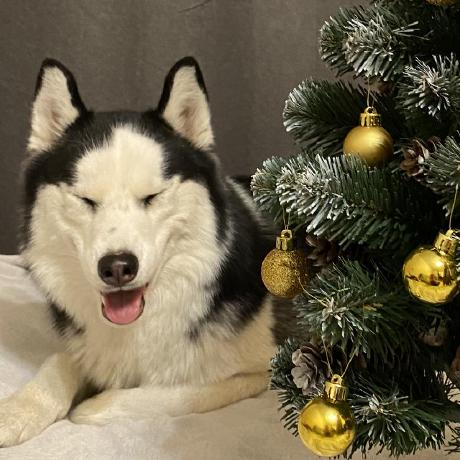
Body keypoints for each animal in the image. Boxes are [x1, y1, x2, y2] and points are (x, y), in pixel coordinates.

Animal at [0, 57, 292, 447]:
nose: (117, 267)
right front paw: (17, 410)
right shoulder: (92, 347)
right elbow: (60, 360)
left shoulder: (258, 373)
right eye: (86, 199)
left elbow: (176, 390)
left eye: (153, 196)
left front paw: (93, 406)